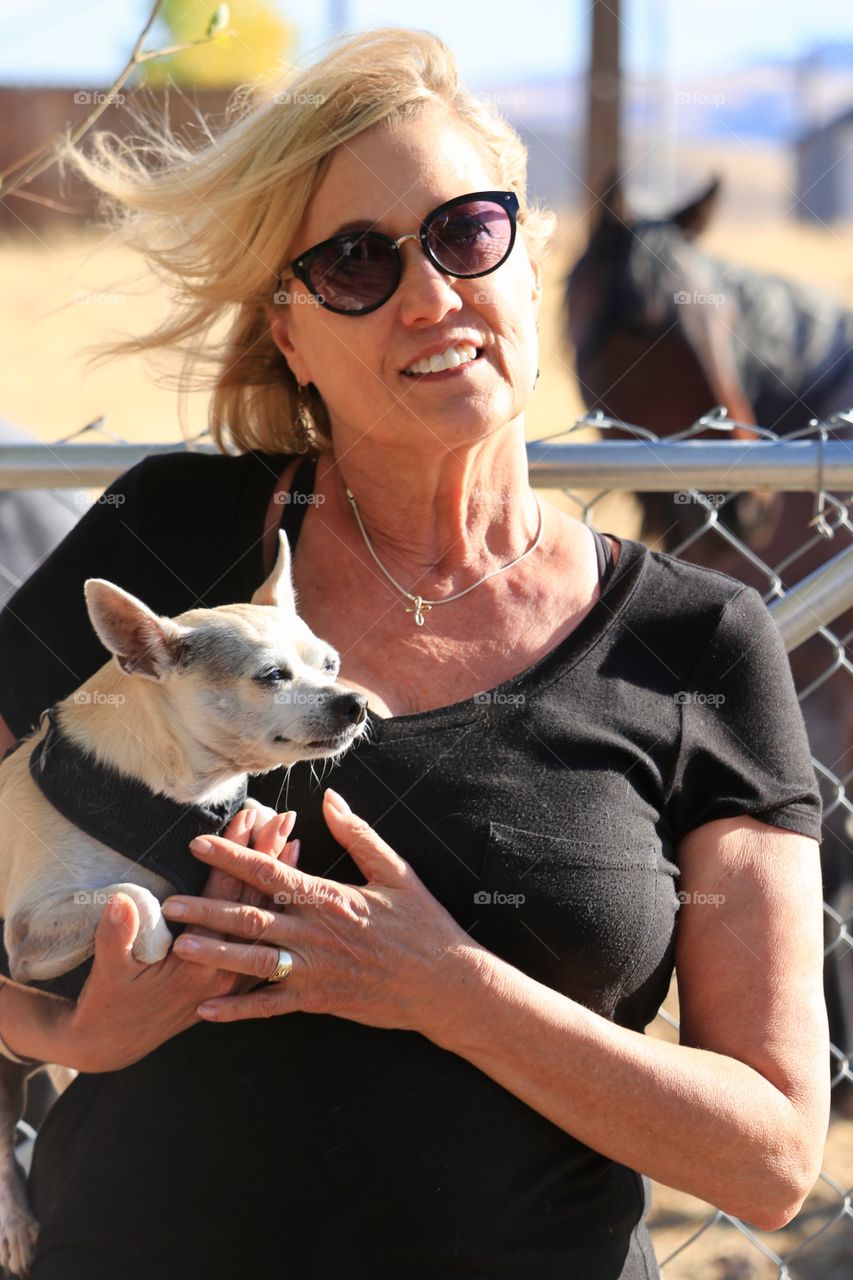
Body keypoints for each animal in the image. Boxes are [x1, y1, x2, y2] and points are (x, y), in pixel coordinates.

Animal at [0, 529, 363, 1269]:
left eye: (331, 663)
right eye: (272, 677)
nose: (354, 702)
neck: (174, 797)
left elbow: (249, 819)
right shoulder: (24, 935)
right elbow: (138, 895)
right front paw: (159, 943)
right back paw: (16, 1226)